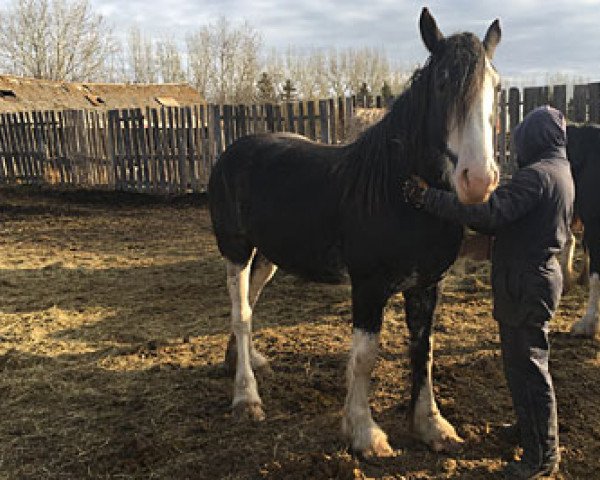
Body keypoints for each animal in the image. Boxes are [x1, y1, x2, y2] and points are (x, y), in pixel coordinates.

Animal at [209, 8, 500, 458]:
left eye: (496, 86)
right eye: (443, 82)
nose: (479, 180)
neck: (401, 194)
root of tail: (233, 150)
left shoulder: (427, 285)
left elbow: (424, 350)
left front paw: (432, 426)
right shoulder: (367, 286)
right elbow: (365, 357)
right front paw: (364, 433)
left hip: (268, 255)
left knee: (249, 302)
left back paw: (245, 362)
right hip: (236, 249)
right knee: (241, 313)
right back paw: (247, 398)